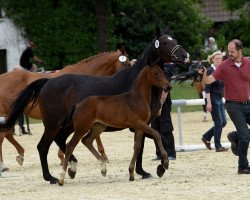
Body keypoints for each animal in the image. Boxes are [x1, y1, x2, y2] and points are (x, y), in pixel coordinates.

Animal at [0, 48, 132, 172]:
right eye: (127, 64)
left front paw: (63, 157)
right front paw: (102, 155)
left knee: (6, 134)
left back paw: (18, 155)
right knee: (4, 135)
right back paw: (4, 164)